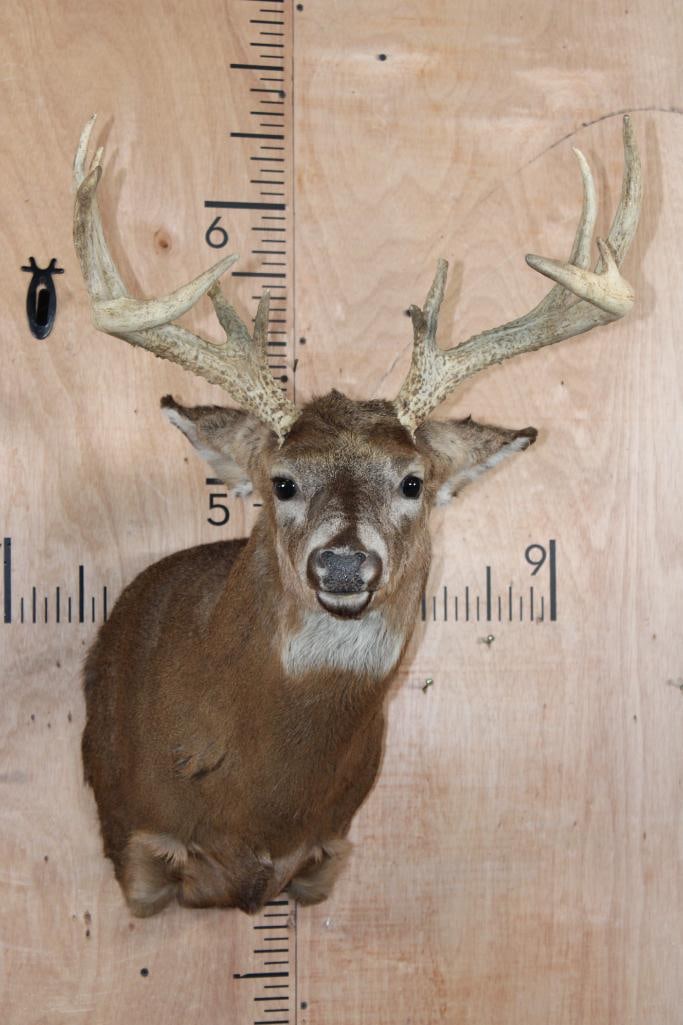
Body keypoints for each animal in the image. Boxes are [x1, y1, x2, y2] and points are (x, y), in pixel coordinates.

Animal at [73, 114, 642, 917]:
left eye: (413, 481)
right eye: (280, 482)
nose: (343, 562)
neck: (259, 808)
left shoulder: (327, 853)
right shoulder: (139, 845)